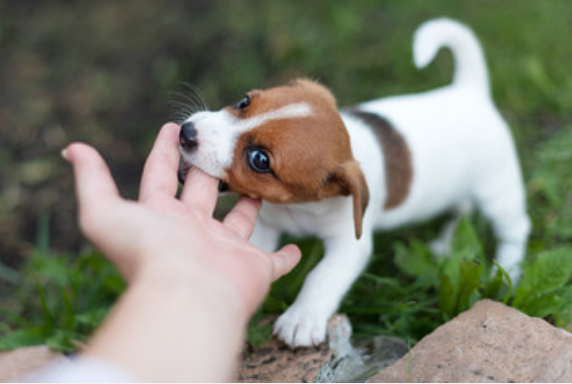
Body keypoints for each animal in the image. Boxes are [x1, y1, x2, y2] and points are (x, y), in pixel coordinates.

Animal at [179, 18, 532, 348]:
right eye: (244, 102)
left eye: (259, 160)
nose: (186, 132)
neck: (300, 207)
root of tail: (470, 92)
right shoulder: (266, 224)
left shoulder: (350, 245)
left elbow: (322, 276)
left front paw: (302, 317)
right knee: (462, 208)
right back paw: (446, 243)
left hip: (497, 191)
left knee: (515, 227)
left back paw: (506, 271)